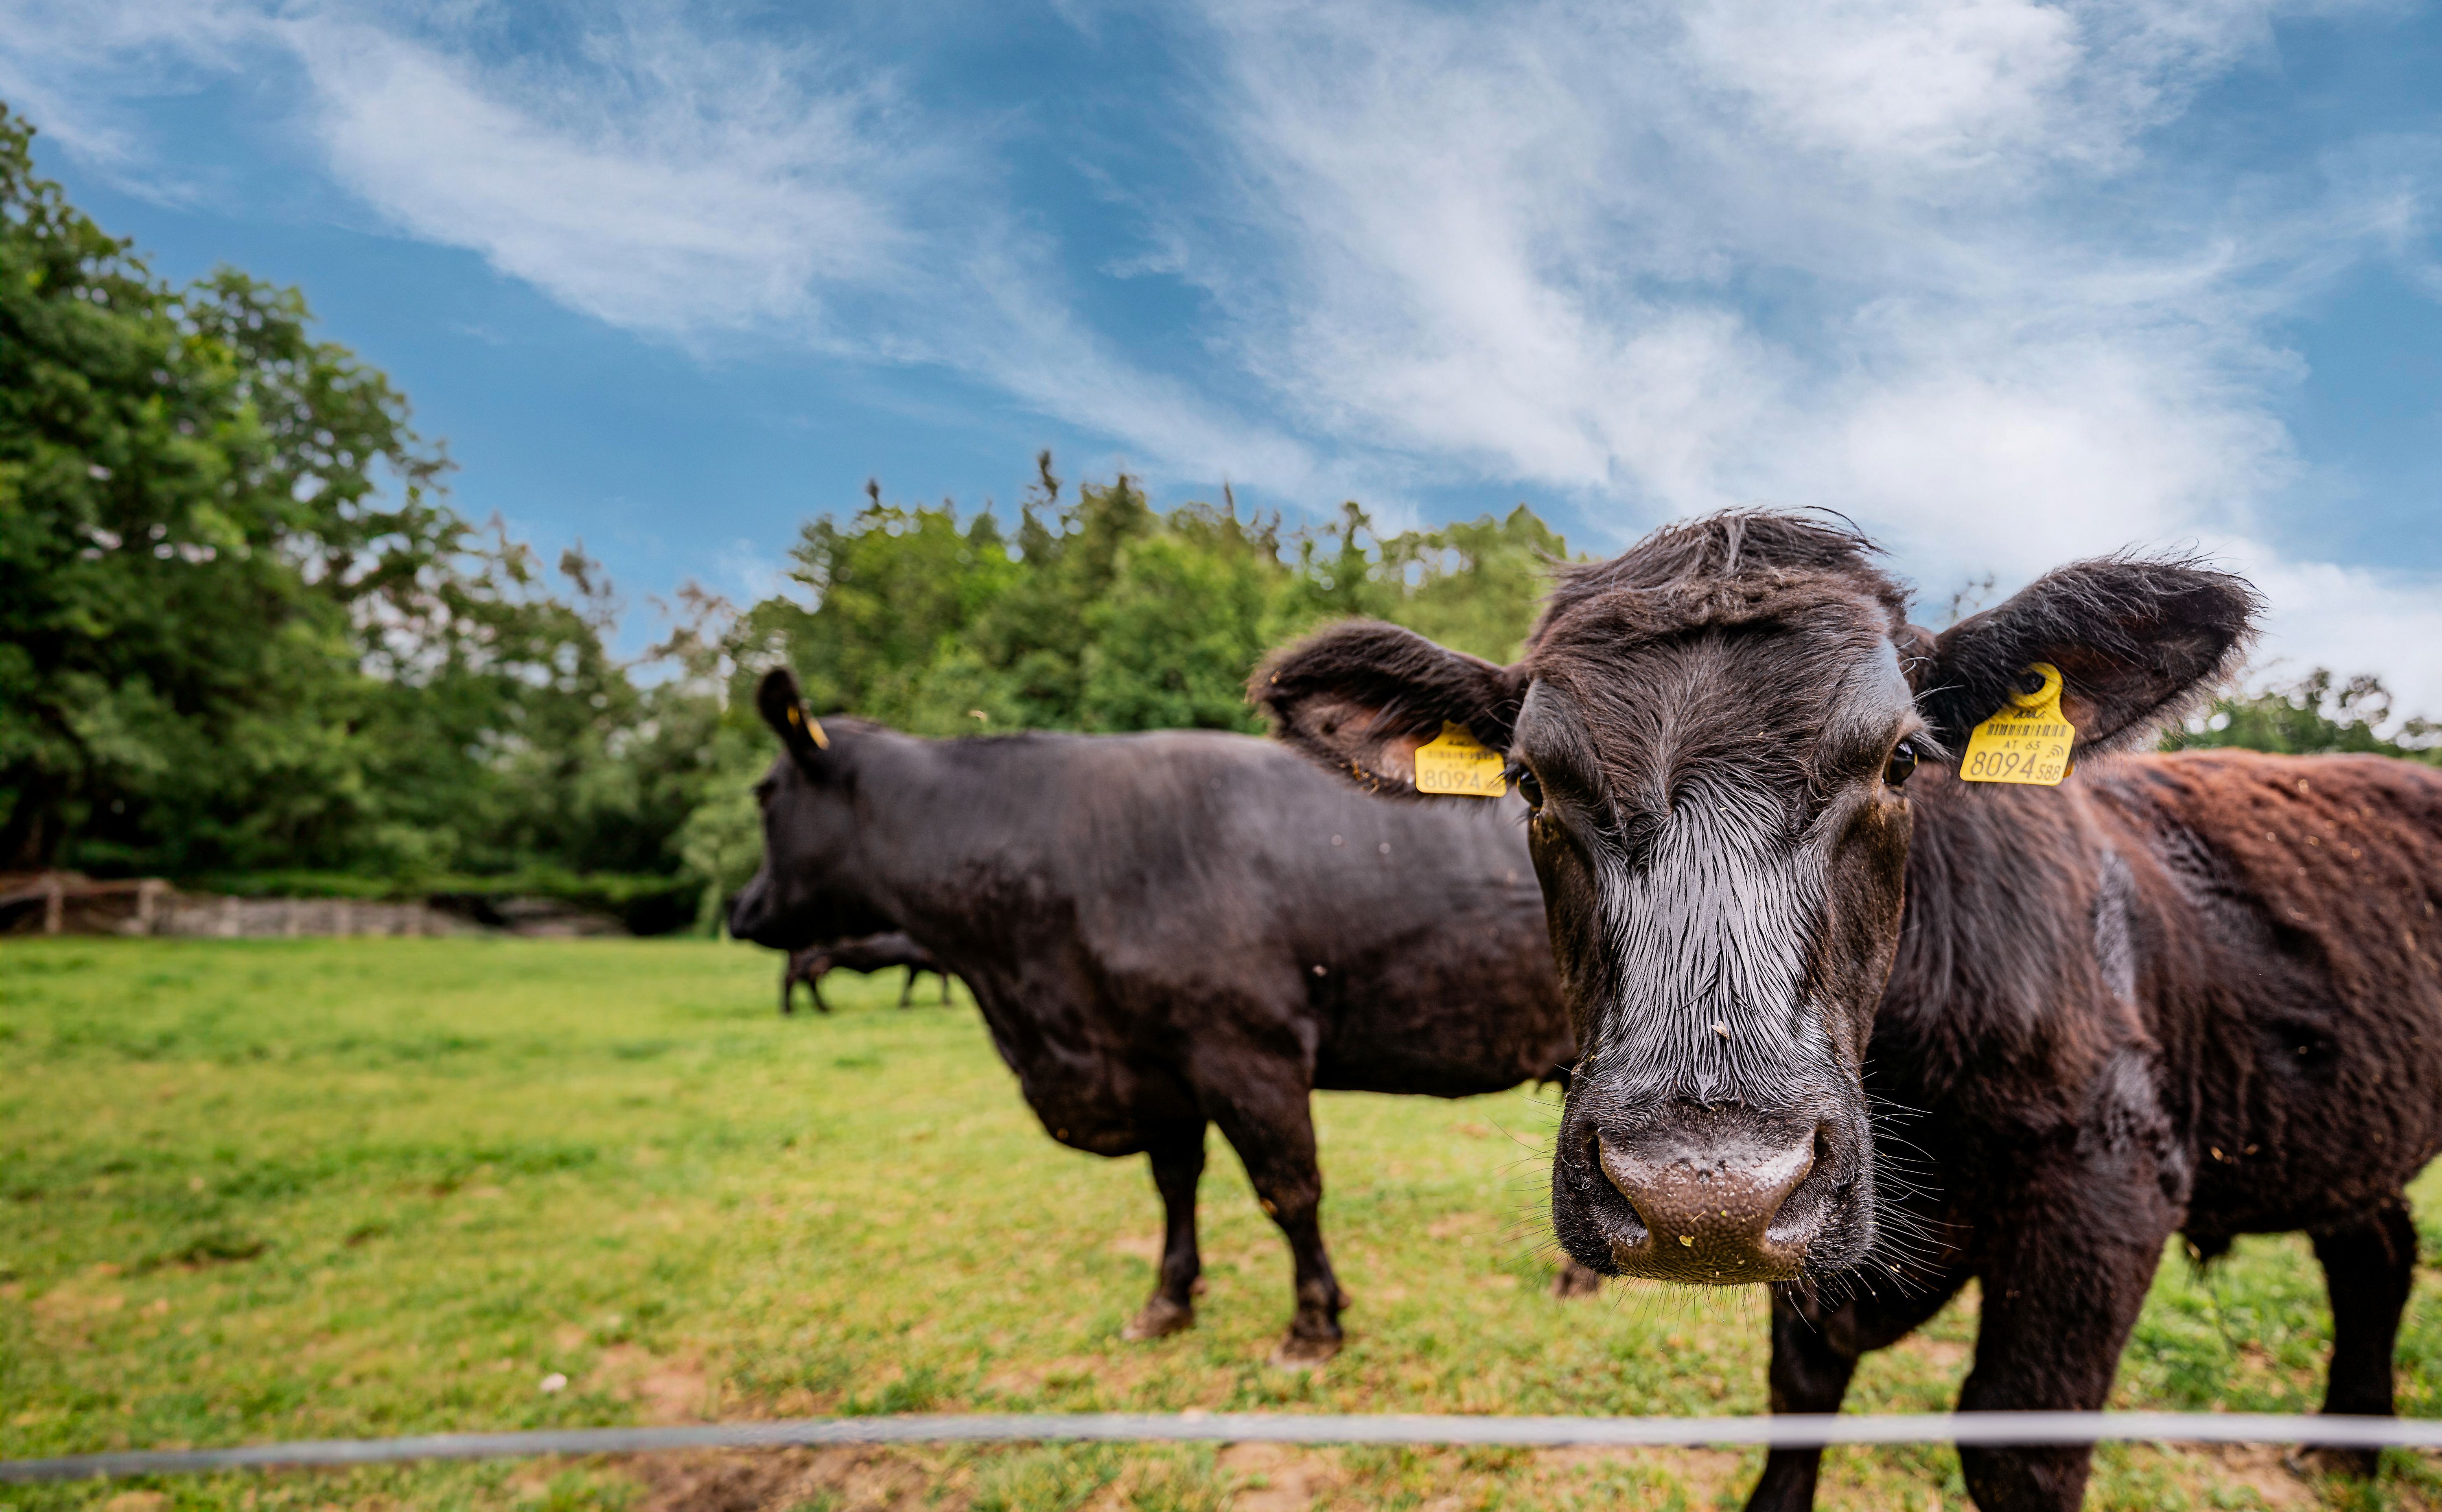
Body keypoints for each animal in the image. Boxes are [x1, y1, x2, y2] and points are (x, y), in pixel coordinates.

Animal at [782, 931, 955, 1014]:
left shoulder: (915, 963)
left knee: (808, 983)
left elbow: (909, 983)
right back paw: (789, 1011)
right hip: (807, 961)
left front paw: (904, 1004)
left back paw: (824, 1009)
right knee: (791, 980)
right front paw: (948, 1003)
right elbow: (944, 980)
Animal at [1253, 509, 2442, 1509]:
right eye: (1532, 782)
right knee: (2376, 1248)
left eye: (1904, 758)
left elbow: (2017, 1446)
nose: (1703, 1192)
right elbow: (1800, 1383)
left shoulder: (2106, 1175)